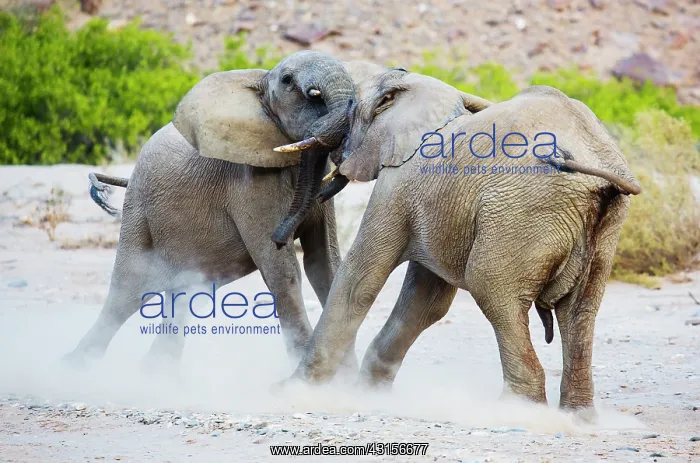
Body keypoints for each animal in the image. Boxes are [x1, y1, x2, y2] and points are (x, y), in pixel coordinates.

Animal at [63, 52, 386, 368]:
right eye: (288, 80)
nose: (281, 237)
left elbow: (324, 263)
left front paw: (343, 374)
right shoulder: (250, 183)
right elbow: (282, 271)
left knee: (187, 294)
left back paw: (157, 372)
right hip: (138, 211)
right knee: (127, 292)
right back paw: (76, 366)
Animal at [275, 68, 641, 421]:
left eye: (350, 106)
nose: (279, 240)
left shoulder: (398, 184)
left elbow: (360, 280)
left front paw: (291, 391)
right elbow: (427, 301)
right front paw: (369, 395)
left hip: (521, 212)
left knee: (493, 289)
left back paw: (517, 411)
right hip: (602, 227)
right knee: (580, 309)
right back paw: (579, 418)